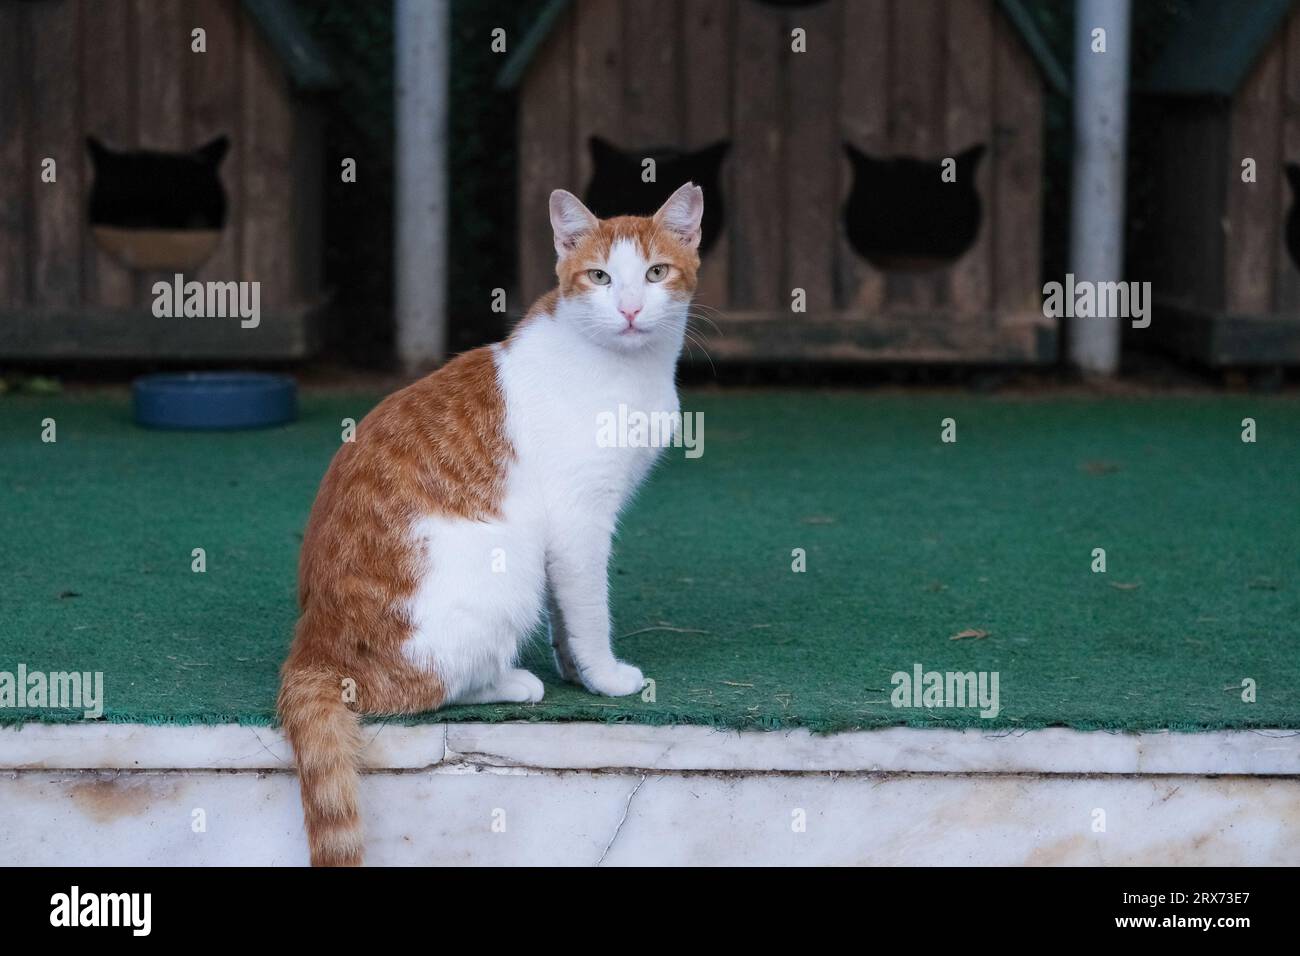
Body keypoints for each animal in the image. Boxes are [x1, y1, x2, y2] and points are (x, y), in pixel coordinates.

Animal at [273, 179, 702, 868]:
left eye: (656, 273)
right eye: (601, 277)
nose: (632, 309)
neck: (626, 367)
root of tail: (312, 645)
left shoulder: (566, 536)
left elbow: (566, 614)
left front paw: (574, 670)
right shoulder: (580, 523)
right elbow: (589, 608)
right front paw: (605, 677)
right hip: (504, 570)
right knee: (416, 692)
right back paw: (509, 683)